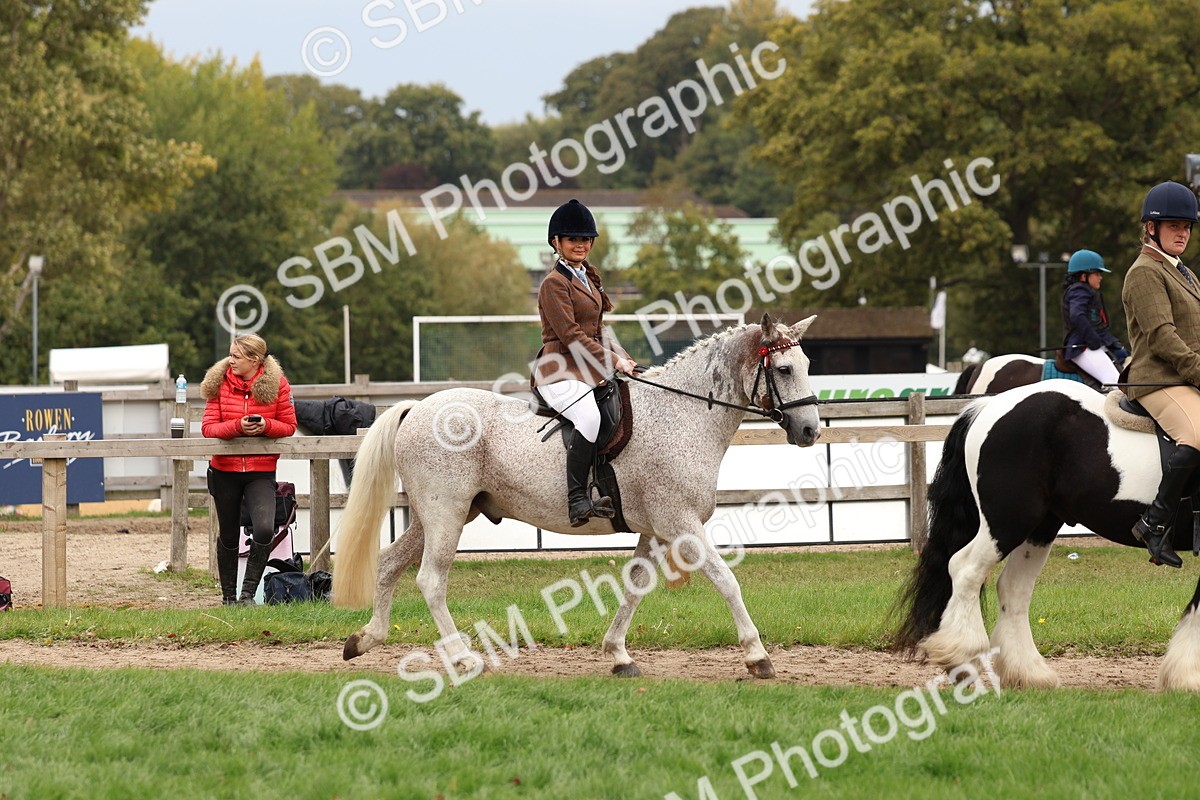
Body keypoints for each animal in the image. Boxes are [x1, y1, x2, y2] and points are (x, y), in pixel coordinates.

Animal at [332, 315, 823, 679]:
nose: (810, 431)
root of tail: (418, 406)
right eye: (783, 369)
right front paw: (757, 656)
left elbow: (634, 587)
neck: (681, 413)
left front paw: (618, 655)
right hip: (445, 516)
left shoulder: (654, 530)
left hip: (436, 517)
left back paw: (365, 640)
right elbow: (727, 580)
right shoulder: (680, 524)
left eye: (806, 364)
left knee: (390, 564)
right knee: (431, 580)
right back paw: (463, 659)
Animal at [894, 379, 1200, 690]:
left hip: (1040, 527)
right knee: (965, 569)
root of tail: (987, 404)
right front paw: (1189, 678)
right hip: (1008, 521)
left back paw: (1028, 672)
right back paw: (964, 657)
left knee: (1013, 587)